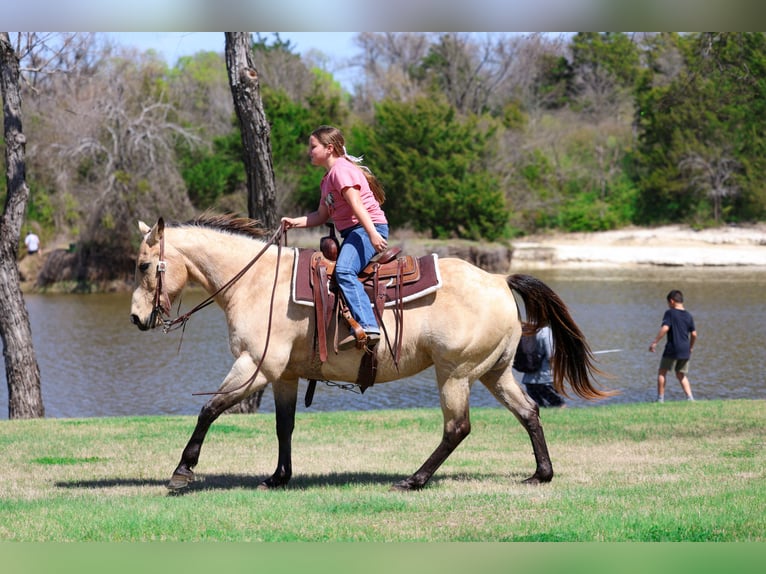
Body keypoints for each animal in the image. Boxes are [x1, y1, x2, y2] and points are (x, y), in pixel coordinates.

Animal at [129, 213, 611, 491]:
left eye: (141, 265)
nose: (136, 318)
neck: (257, 281)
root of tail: (498, 279)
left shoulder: (255, 366)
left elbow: (208, 410)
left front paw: (182, 472)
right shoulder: (284, 375)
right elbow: (284, 427)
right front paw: (279, 477)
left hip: (455, 374)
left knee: (457, 428)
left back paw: (414, 480)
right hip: (495, 372)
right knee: (529, 412)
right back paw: (541, 473)